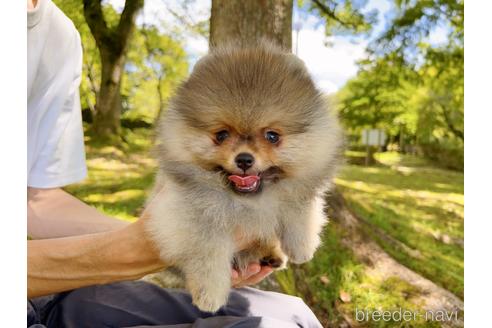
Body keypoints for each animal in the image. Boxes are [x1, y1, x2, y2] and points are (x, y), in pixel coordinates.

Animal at [144, 41, 340, 312]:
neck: (248, 200)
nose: (244, 159)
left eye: (272, 136)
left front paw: (302, 246)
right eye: (221, 135)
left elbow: (300, 211)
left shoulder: (298, 186)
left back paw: (271, 254)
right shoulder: (193, 216)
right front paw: (210, 294)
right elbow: (208, 255)